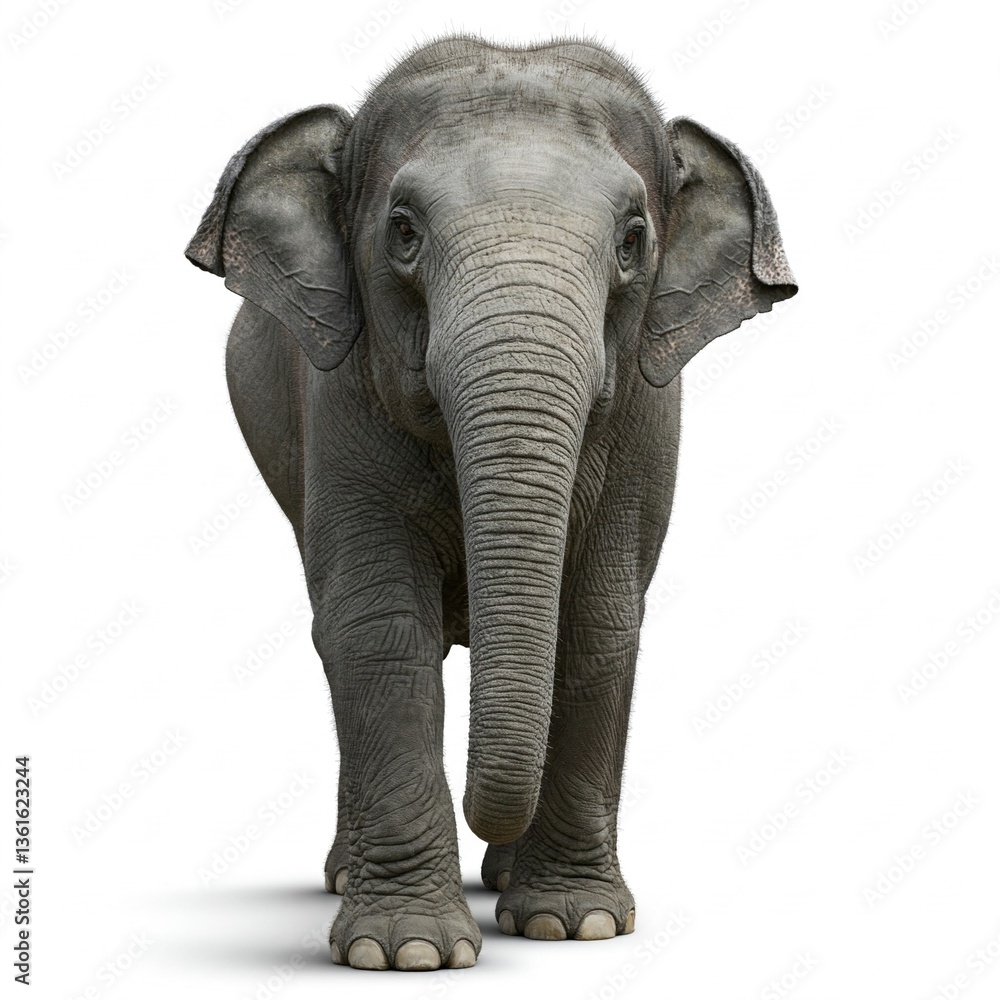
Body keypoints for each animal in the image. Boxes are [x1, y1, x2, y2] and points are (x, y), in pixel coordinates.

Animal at [185, 35, 796, 972]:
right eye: (403, 231)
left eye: (633, 239)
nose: (483, 818)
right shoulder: (338, 396)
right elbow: (375, 623)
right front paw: (406, 952)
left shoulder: (649, 419)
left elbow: (598, 622)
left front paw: (570, 926)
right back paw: (347, 876)